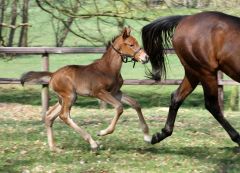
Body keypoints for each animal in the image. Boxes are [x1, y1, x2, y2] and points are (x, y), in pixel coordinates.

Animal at [21, 27, 151, 151]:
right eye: (131, 44)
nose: (146, 57)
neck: (108, 69)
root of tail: (53, 75)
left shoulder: (115, 92)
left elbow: (135, 104)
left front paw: (147, 136)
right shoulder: (99, 92)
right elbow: (119, 107)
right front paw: (102, 132)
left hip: (65, 98)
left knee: (49, 116)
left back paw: (54, 148)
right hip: (70, 96)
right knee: (64, 116)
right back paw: (93, 143)